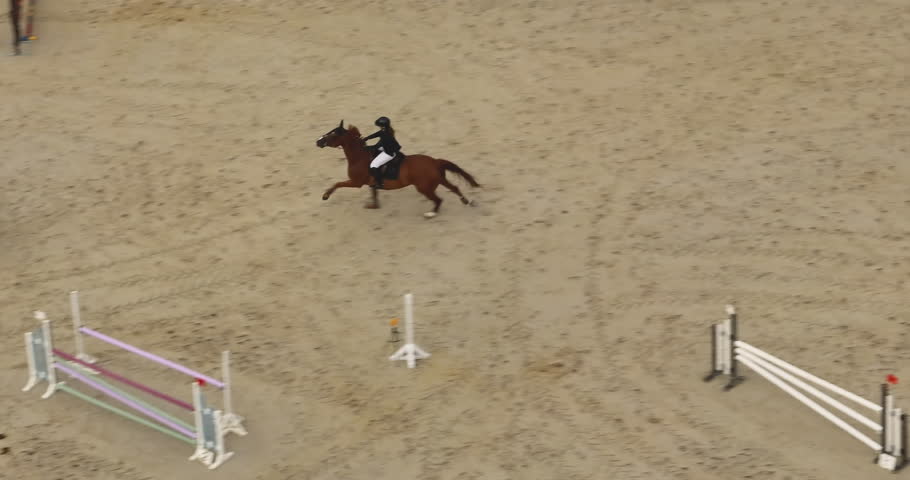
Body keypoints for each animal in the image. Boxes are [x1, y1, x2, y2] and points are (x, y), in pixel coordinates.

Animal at [316, 120, 480, 218]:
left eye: (333, 134)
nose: (318, 141)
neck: (359, 156)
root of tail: (435, 162)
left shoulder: (356, 182)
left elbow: (337, 184)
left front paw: (325, 196)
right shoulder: (370, 182)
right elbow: (373, 192)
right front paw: (373, 206)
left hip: (425, 188)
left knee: (439, 199)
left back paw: (430, 214)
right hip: (439, 180)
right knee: (454, 188)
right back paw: (467, 201)